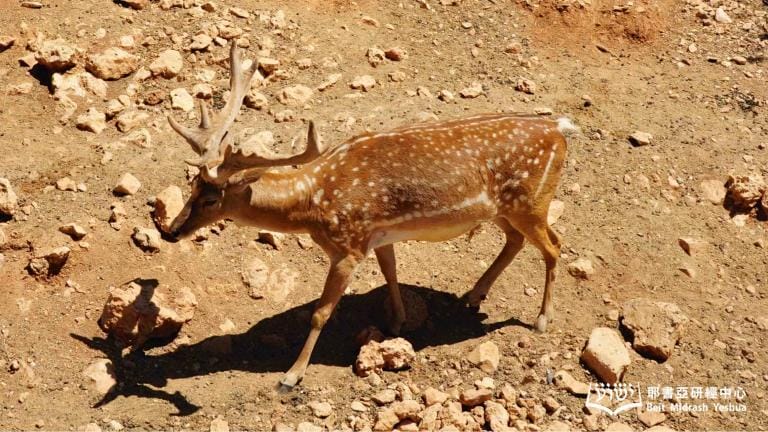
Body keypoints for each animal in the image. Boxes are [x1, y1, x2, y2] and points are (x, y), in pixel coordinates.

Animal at [166, 44, 576, 388]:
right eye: (192, 186)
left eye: (211, 199)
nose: (170, 231)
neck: (313, 205)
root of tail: (560, 129)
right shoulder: (378, 235)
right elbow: (390, 271)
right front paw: (397, 322)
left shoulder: (348, 247)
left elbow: (321, 312)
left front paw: (291, 376)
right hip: (505, 209)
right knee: (517, 240)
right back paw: (472, 296)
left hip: (532, 201)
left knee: (554, 246)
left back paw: (540, 320)